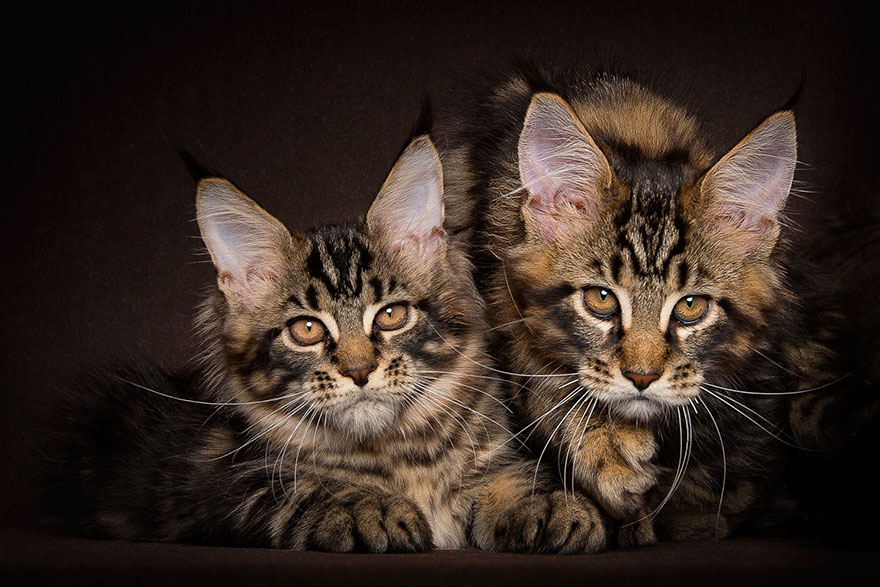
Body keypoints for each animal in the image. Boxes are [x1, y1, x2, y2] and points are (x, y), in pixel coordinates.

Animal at [43, 131, 604, 552]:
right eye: (307, 330)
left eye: (392, 315)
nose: (358, 371)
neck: (405, 460)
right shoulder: (229, 482)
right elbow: (310, 488)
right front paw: (370, 508)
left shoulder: (492, 458)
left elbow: (516, 479)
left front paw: (552, 508)